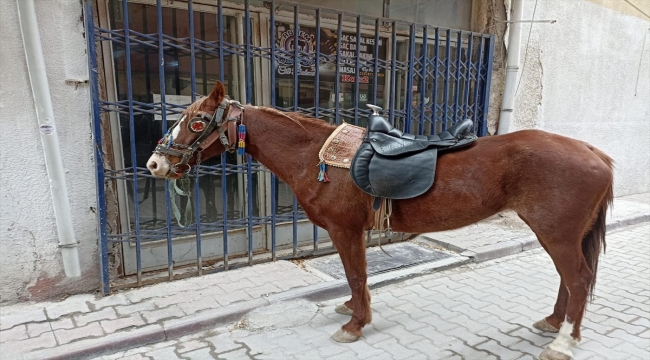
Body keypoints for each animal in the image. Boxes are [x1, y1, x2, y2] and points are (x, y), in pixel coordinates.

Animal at [147, 81, 612, 360]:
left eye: (197, 121)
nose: (154, 164)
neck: (315, 156)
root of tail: (595, 153)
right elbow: (358, 277)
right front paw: (354, 310)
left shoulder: (345, 229)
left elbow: (355, 274)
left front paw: (355, 324)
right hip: (556, 233)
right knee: (569, 279)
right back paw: (553, 323)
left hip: (557, 233)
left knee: (578, 279)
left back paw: (563, 342)